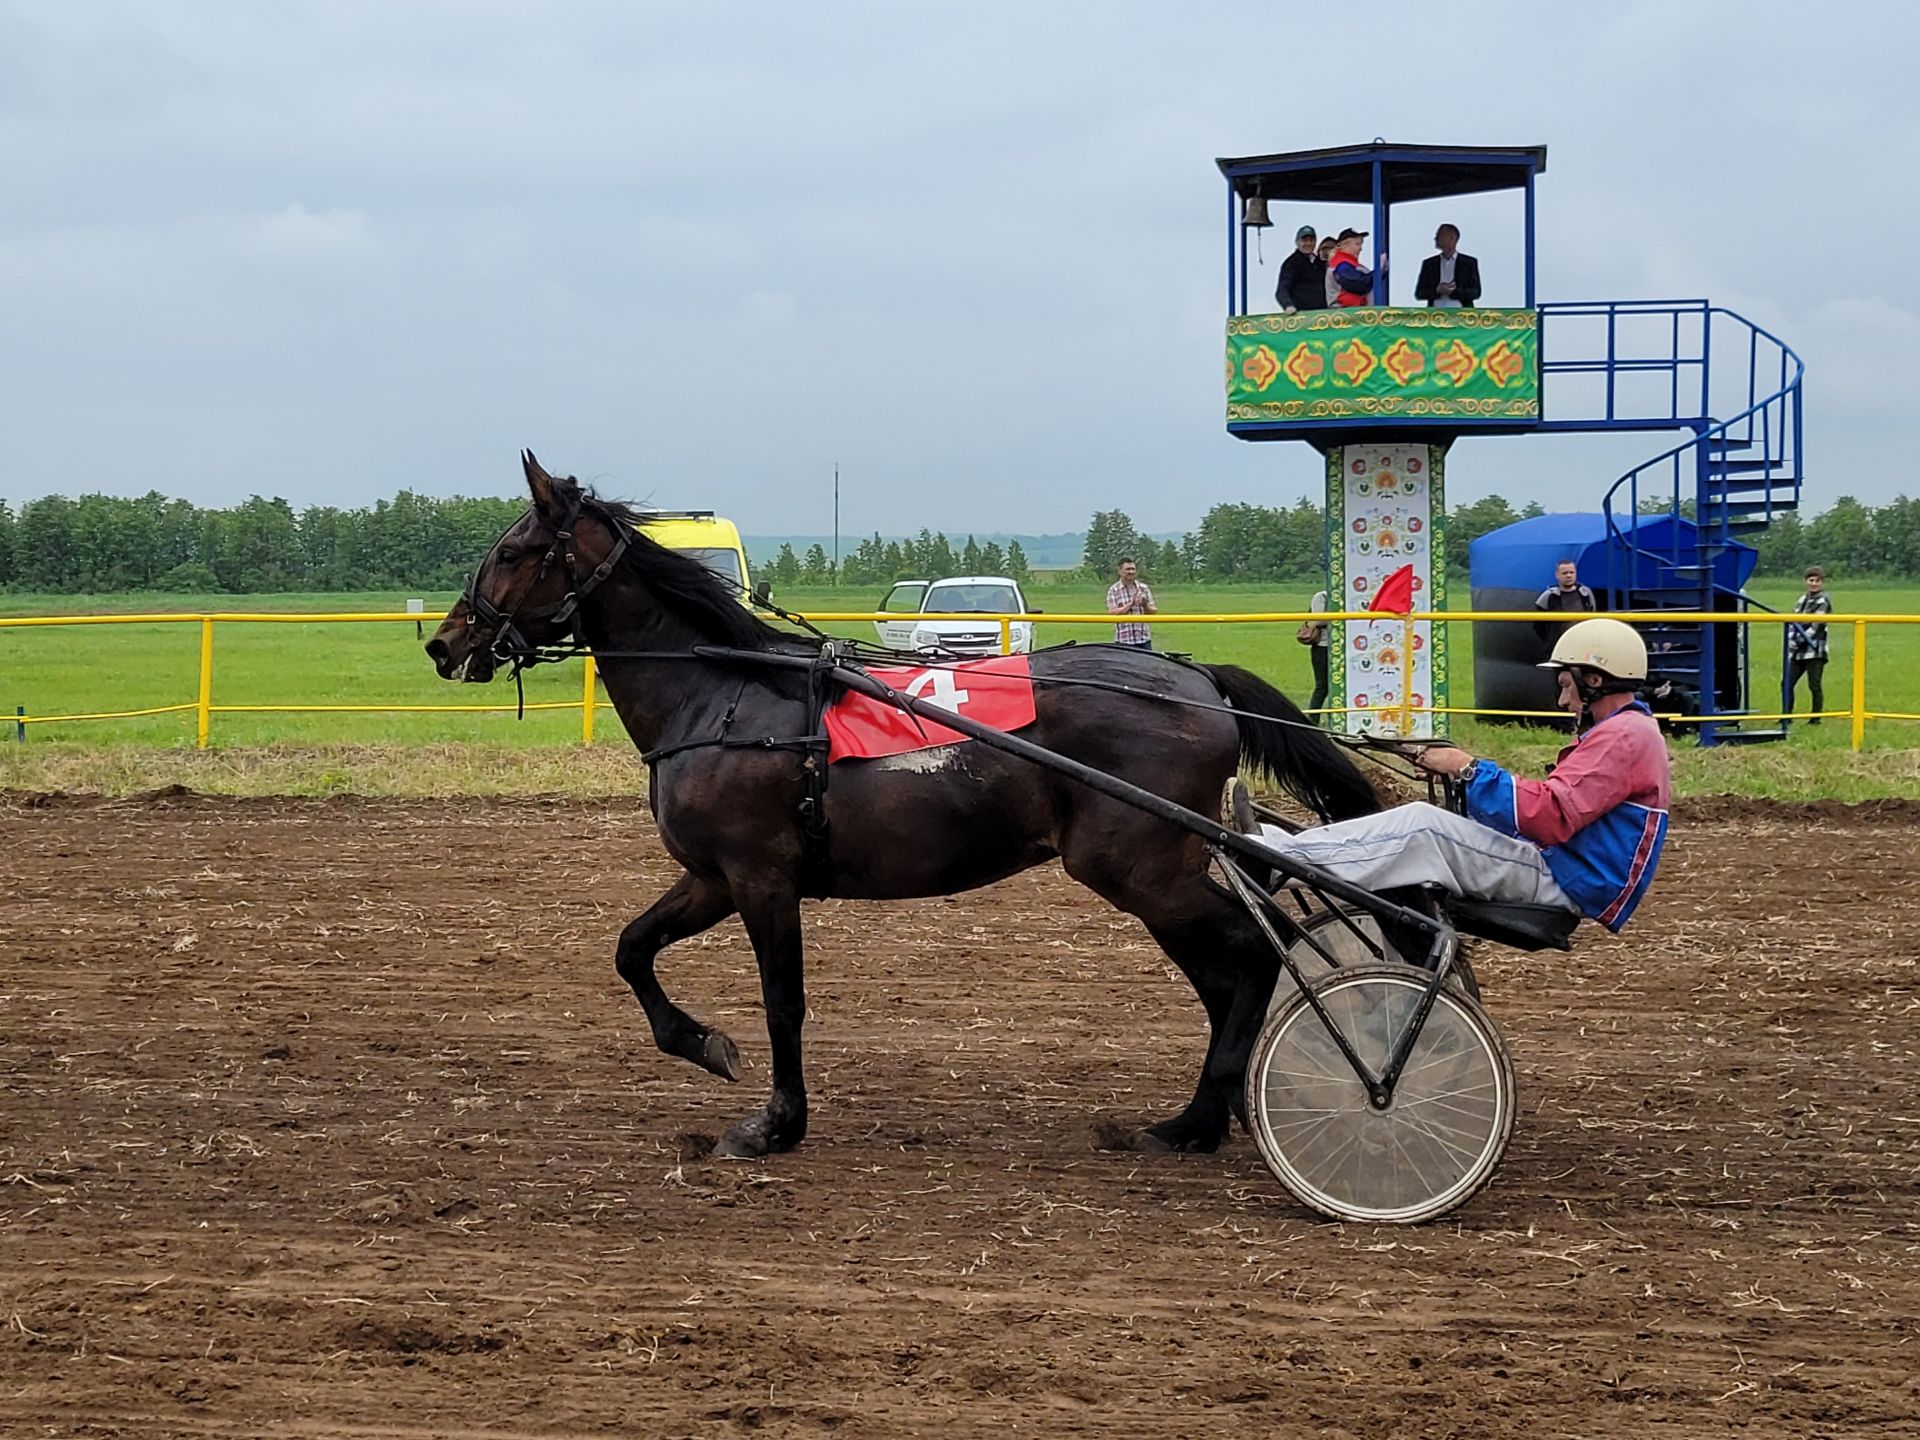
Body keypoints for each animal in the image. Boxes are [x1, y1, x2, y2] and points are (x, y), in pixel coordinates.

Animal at [430, 456, 1382, 1167]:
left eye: (515, 549)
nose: (444, 642)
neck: (725, 695)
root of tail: (1199, 680)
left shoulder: (761, 878)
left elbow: (783, 1001)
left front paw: (776, 1124)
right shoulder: (710, 876)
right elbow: (632, 950)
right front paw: (704, 1045)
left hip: (1141, 866)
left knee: (1250, 954)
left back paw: (1209, 1116)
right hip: (1158, 870)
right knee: (1232, 968)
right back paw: (1202, 1118)